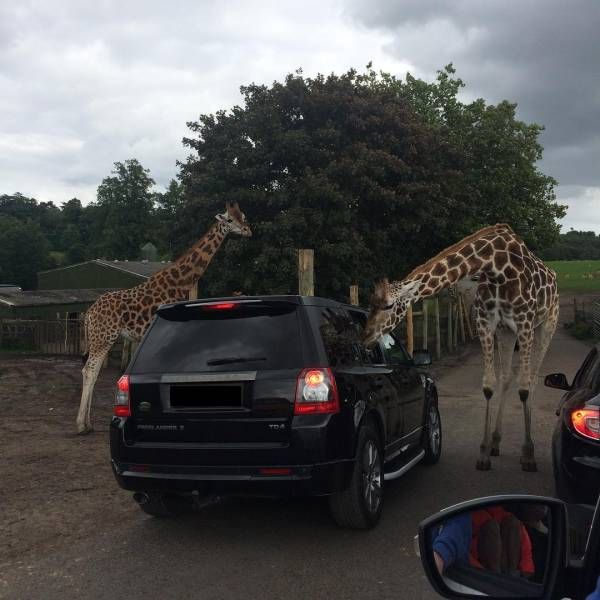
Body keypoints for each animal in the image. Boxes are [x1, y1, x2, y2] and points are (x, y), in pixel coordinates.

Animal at [77, 204, 251, 434]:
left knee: (94, 372)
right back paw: (80, 425)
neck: (179, 283)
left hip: (103, 339)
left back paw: (89, 424)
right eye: (230, 220)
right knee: (88, 370)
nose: (248, 230)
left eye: (243, 216)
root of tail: (89, 314)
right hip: (103, 337)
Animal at [364, 223, 560, 472]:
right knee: (506, 377)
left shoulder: (525, 322)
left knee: (532, 380)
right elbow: (489, 385)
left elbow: (524, 387)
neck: (496, 268)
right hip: (507, 332)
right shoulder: (487, 323)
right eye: (371, 303)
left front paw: (528, 455)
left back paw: (526, 448)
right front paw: (484, 453)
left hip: (547, 323)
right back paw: (496, 441)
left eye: (388, 305)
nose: (365, 337)